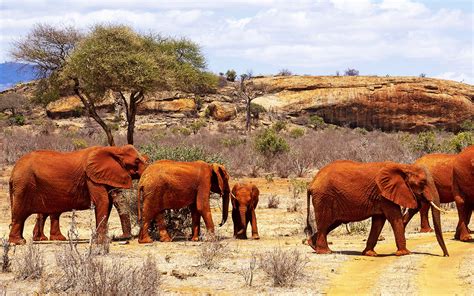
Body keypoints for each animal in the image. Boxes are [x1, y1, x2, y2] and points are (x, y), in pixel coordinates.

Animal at [8, 145, 146, 244]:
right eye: (137, 161)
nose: (122, 237)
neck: (114, 149)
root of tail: (13, 171)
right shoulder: (90, 177)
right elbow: (103, 201)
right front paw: (102, 242)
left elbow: (110, 202)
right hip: (23, 184)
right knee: (20, 213)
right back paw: (19, 242)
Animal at [306, 160, 450, 256]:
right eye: (423, 183)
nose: (446, 255)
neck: (404, 167)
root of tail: (312, 183)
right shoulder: (384, 194)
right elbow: (394, 218)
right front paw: (405, 253)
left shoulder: (382, 196)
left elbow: (378, 222)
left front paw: (369, 253)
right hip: (324, 197)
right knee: (325, 223)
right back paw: (325, 252)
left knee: (332, 223)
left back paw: (312, 245)